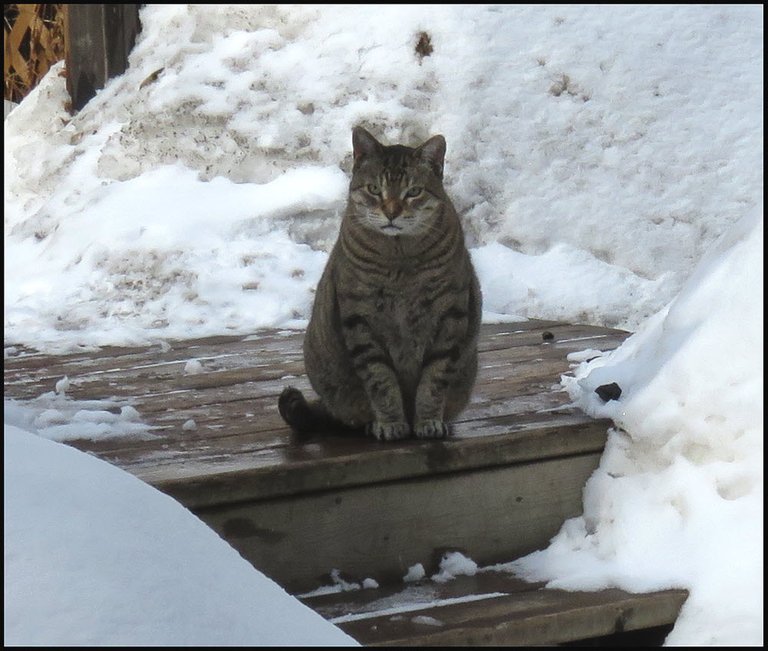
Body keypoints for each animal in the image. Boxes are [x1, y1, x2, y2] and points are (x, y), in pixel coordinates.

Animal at [276, 126, 480, 444]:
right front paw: (391, 423)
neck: (399, 258)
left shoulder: (451, 314)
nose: (392, 212)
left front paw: (428, 421)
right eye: (374, 189)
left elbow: (434, 380)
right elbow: (380, 380)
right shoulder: (359, 317)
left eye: (414, 192)